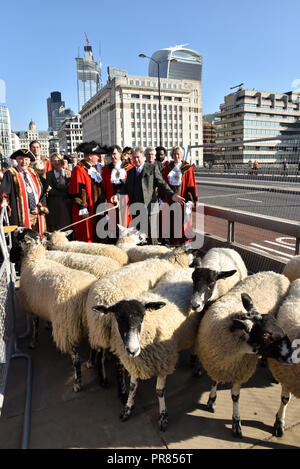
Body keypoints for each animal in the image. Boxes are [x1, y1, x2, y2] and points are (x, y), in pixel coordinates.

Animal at [14, 227, 96, 392]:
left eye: (18, 236)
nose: (16, 229)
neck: (34, 259)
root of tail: (85, 294)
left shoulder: (32, 307)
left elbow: (35, 327)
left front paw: (33, 342)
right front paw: (47, 326)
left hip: (66, 326)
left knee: (76, 359)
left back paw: (77, 383)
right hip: (89, 323)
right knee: (94, 346)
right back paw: (90, 362)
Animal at [84, 245, 190, 394]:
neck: (168, 261)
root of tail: (100, 298)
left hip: (98, 331)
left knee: (98, 351)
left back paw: (97, 372)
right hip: (113, 336)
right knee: (116, 363)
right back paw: (121, 391)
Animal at [91, 266, 202, 430]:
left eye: (142, 316)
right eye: (117, 317)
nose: (132, 350)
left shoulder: (164, 362)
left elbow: (160, 391)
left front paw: (163, 417)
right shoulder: (135, 364)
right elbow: (132, 386)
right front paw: (127, 409)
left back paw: (196, 365)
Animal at [196, 270, 294, 438]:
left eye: (279, 326)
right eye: (265, 336)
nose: (292, 355)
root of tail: (275, 272)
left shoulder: (240, 371)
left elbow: (235, 397)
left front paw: (236, 422)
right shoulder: (215, 362)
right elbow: (214, 381)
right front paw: (211, 400)